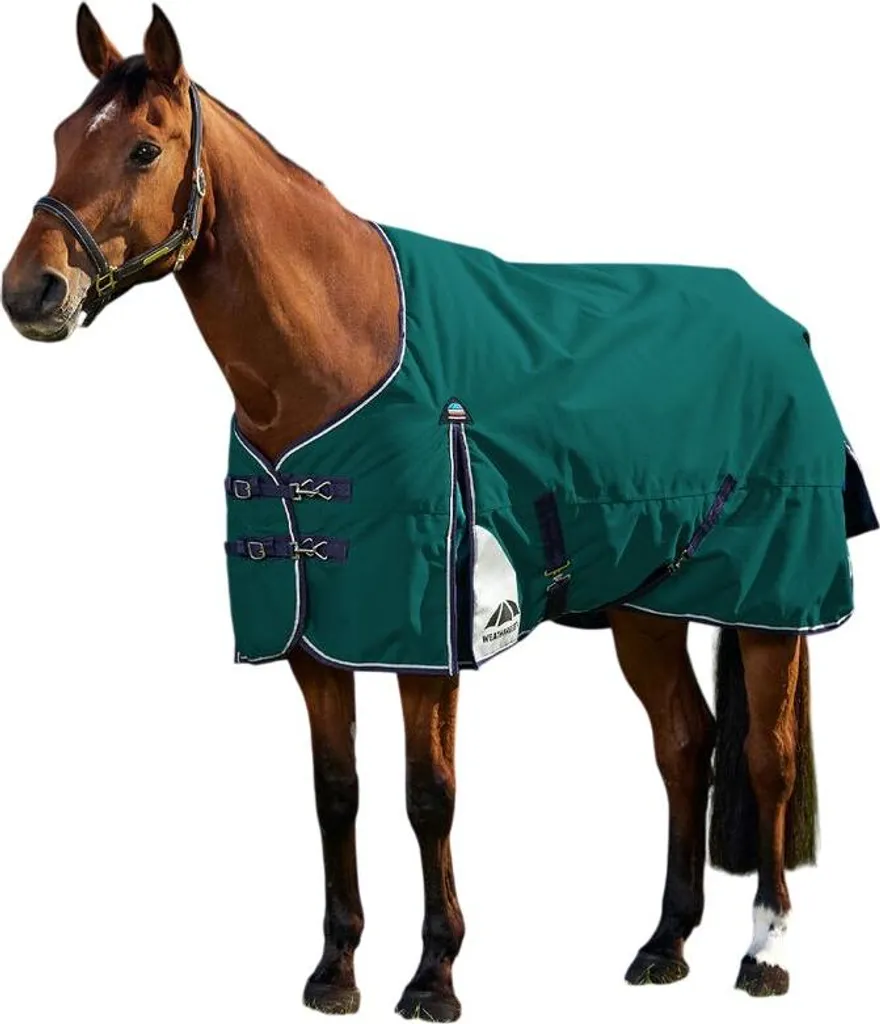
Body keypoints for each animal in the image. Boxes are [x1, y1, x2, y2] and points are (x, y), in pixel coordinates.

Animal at [3, 6, 876, 1019]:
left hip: (771, 601)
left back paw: (765, 953)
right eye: (61, 137)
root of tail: (782, 324)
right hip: (646, 607)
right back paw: (665, 943)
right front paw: (336, 970)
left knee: (768, 760)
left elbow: (430, 797)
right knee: (684, 743)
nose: (30, 292)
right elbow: (335, 793)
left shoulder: (428, 643)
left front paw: (434, 975)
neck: (343, 352)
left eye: (144, 148)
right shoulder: (317, 645)